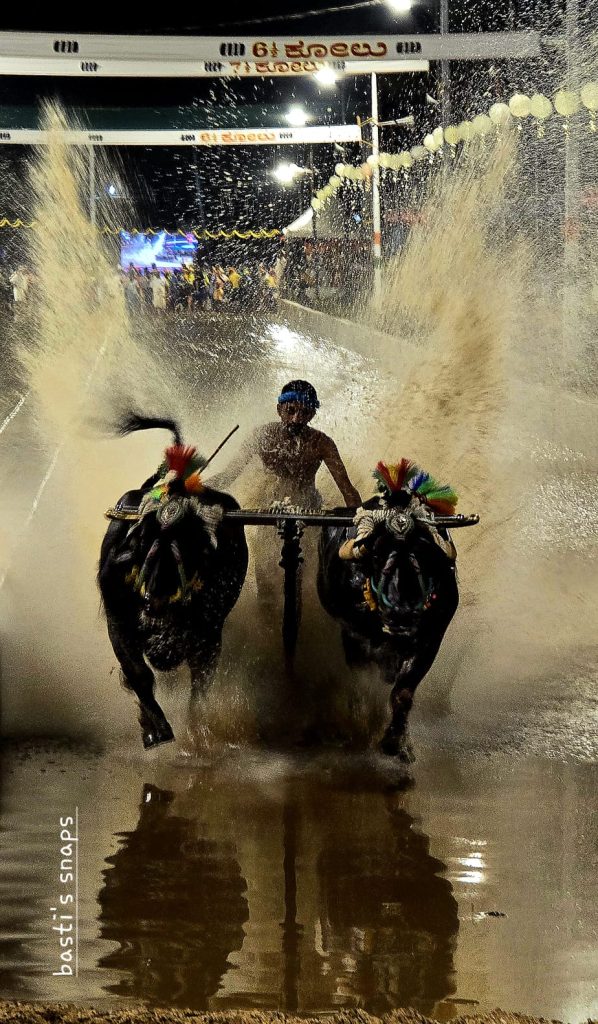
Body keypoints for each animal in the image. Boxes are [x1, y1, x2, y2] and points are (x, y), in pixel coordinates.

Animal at [99, 414, 248, 748]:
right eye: (144, 539)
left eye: (191, 545)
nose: (155, 598)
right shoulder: (118, 622)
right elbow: (139, 674)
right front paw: (157, 730)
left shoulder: (209, 634)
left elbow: (200, 685)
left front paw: (197, 735)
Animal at [317, 459, 460, 762]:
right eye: (376, 553)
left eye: (424, 553)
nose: (401, 615)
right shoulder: (354, 636)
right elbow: (362, 683)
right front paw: (362, 727)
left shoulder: (430, 639)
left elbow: (402, 693)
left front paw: (397, 743)